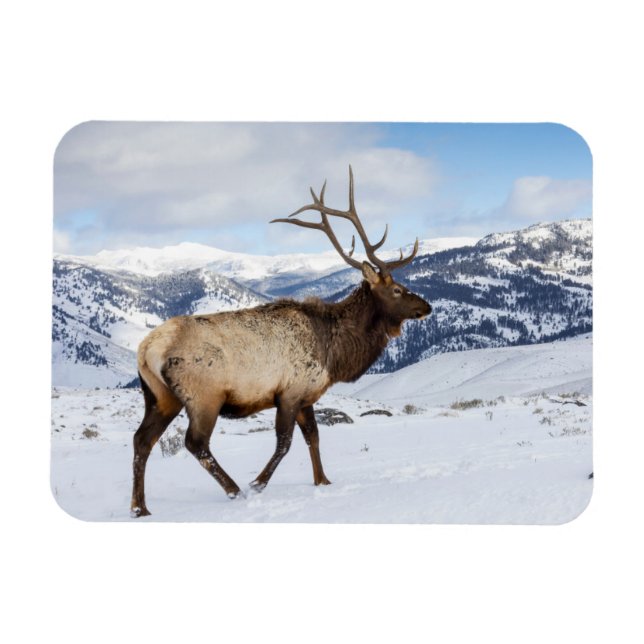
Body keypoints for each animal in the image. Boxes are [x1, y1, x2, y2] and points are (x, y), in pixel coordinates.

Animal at [131, 166, 431, 517]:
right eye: (397, 289)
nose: (427, 306)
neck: (334, 353)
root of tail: (147, 349)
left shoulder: (306, 395)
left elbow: (314, 436)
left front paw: (323, 481)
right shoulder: (289, 392)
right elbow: (285, 443)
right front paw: (258, 483)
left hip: (159, 396)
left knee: (142, 440)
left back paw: (140, 507)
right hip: (203, 395)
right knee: (195, 443)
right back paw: (234, 490)